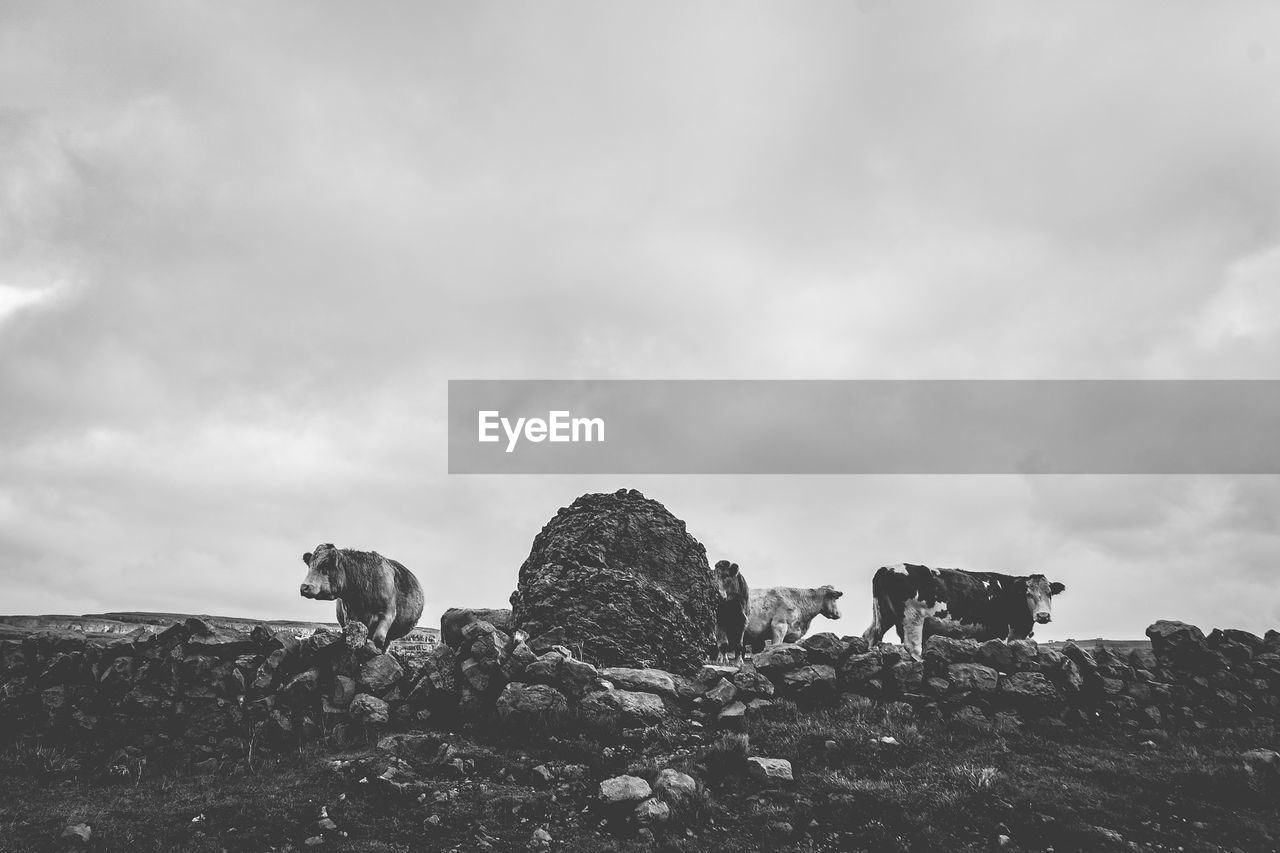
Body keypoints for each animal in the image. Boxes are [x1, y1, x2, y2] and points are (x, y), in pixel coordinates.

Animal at [295, 540, 424, 648]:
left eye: (325, 566)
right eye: (310, 566)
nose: (304, 587)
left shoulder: (388, 613)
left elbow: (378, 638)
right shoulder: (351, 617)